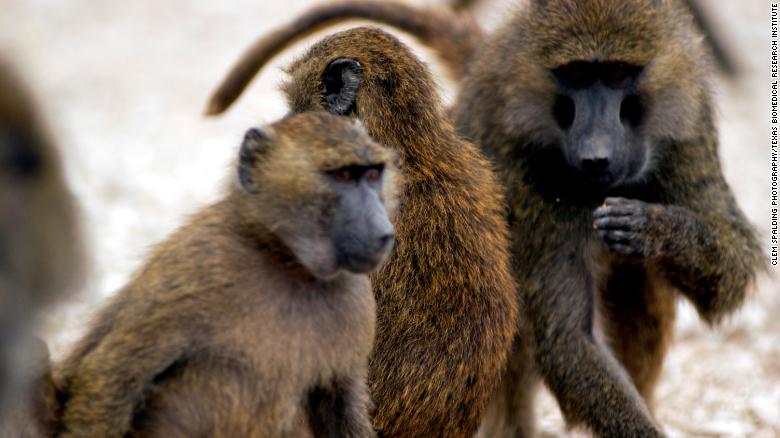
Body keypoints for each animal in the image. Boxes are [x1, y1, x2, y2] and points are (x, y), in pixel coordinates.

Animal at [53, 111, 397, 438]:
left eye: (372, 175)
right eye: (343, 175)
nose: (385, 234)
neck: (287, 260)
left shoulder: (357, 302)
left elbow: (341, 410)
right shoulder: (199, 263)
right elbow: (114, 374)